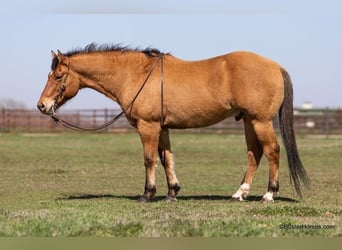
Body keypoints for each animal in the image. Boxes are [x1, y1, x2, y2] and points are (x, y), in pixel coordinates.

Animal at [37, 43, 310, 203]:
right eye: (50, 74)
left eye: (58, 76)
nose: (42, 106)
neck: (136, 74)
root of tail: (276, 67)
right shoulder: (162, 128)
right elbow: (167, 158)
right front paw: (172, 193)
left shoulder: (148, 126)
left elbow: (149, 159)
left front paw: (148, 194)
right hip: (248, 121)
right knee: (254, 153)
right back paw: (239, 193)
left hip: (260, 121)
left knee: (272, 151)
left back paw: (269, 194)